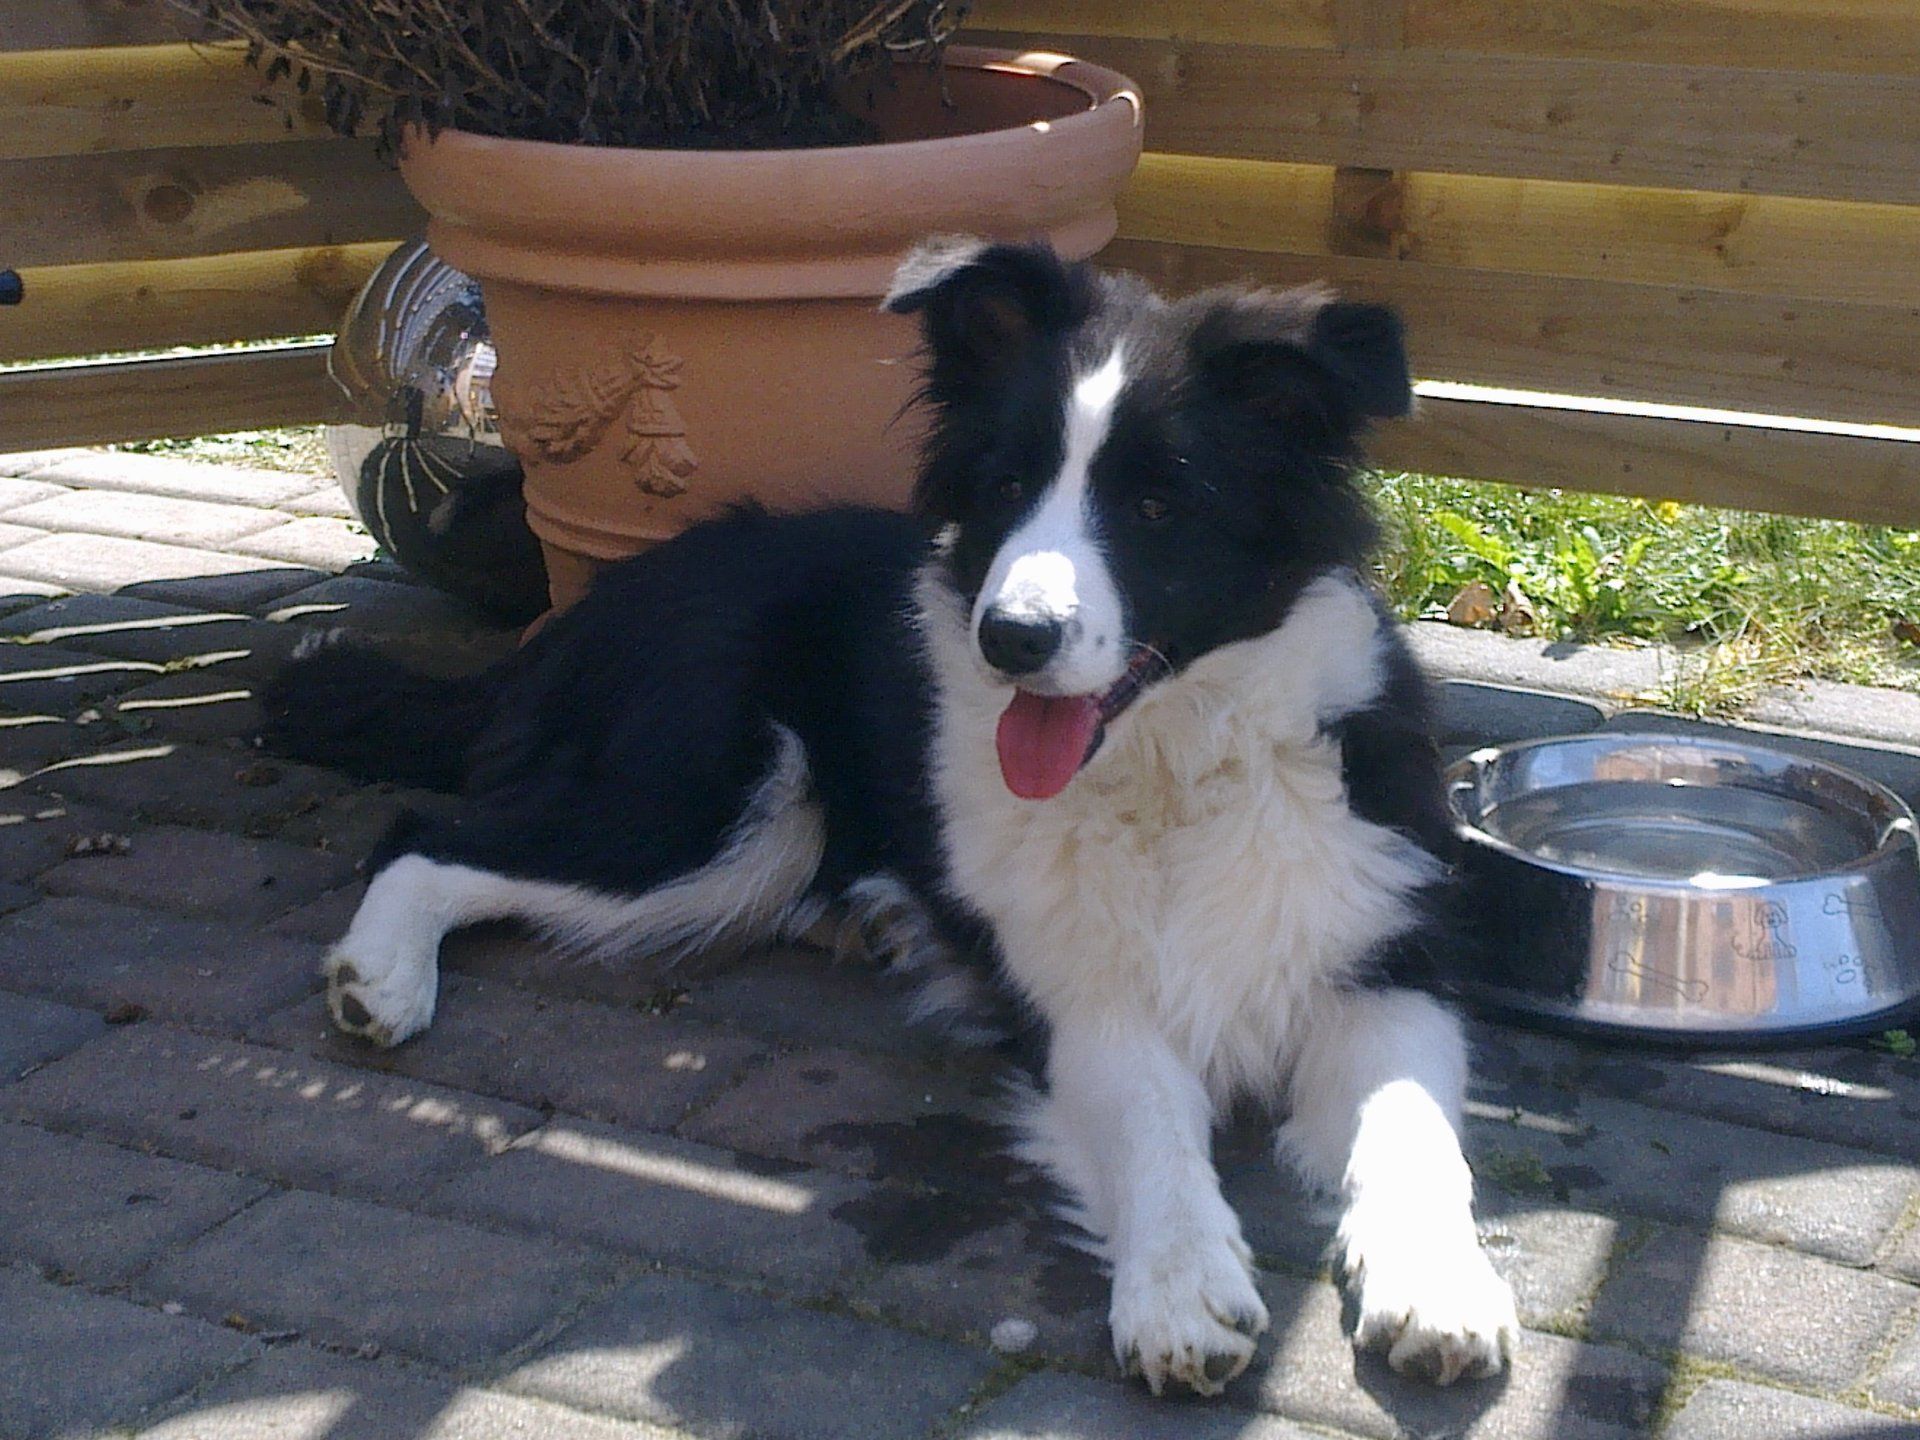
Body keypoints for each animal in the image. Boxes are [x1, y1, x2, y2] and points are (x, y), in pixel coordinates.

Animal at [262, 238, 1519, 1396]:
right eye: (1005, 488)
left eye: (1161, 503)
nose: (1010, 638)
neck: (1173, 768)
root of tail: (590, 609)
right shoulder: (1072, 997)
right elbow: (1153, 1119)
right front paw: (1178, 1287)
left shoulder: (1388, 959)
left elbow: (1414, 1127)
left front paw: (1439, 1286)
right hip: (716, 809)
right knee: (426, 835)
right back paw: (382, 980)